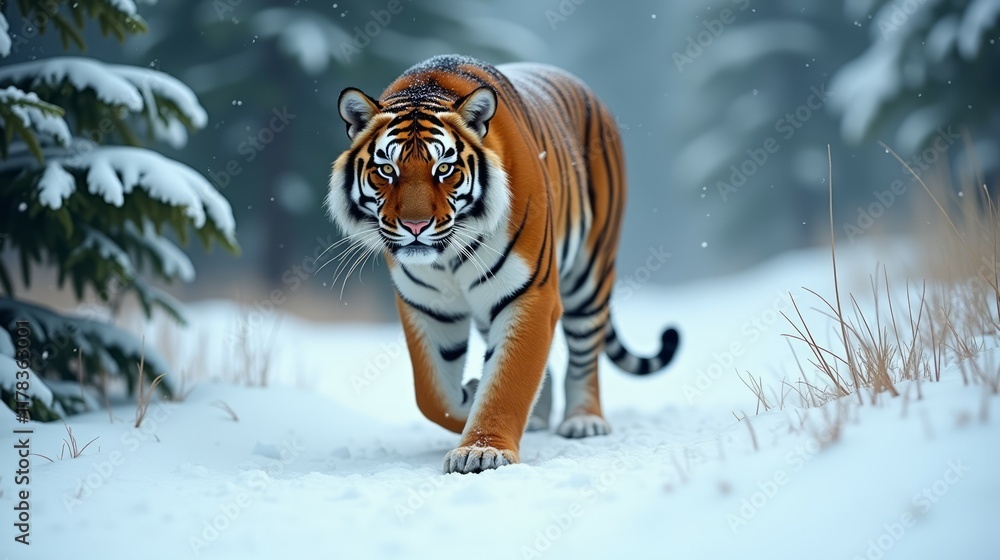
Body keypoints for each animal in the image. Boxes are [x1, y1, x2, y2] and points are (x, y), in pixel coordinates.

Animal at [327, 54, 680, 474]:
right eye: (386, 170)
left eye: (444, 169)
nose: (415, 226)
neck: (448, 257)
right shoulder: (426, 306)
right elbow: (433, 393)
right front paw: (470, 394)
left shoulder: (530, 293)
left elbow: (510, 378)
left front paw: (482, 450)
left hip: (590, 272)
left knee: (584, 352)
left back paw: (584, 420)